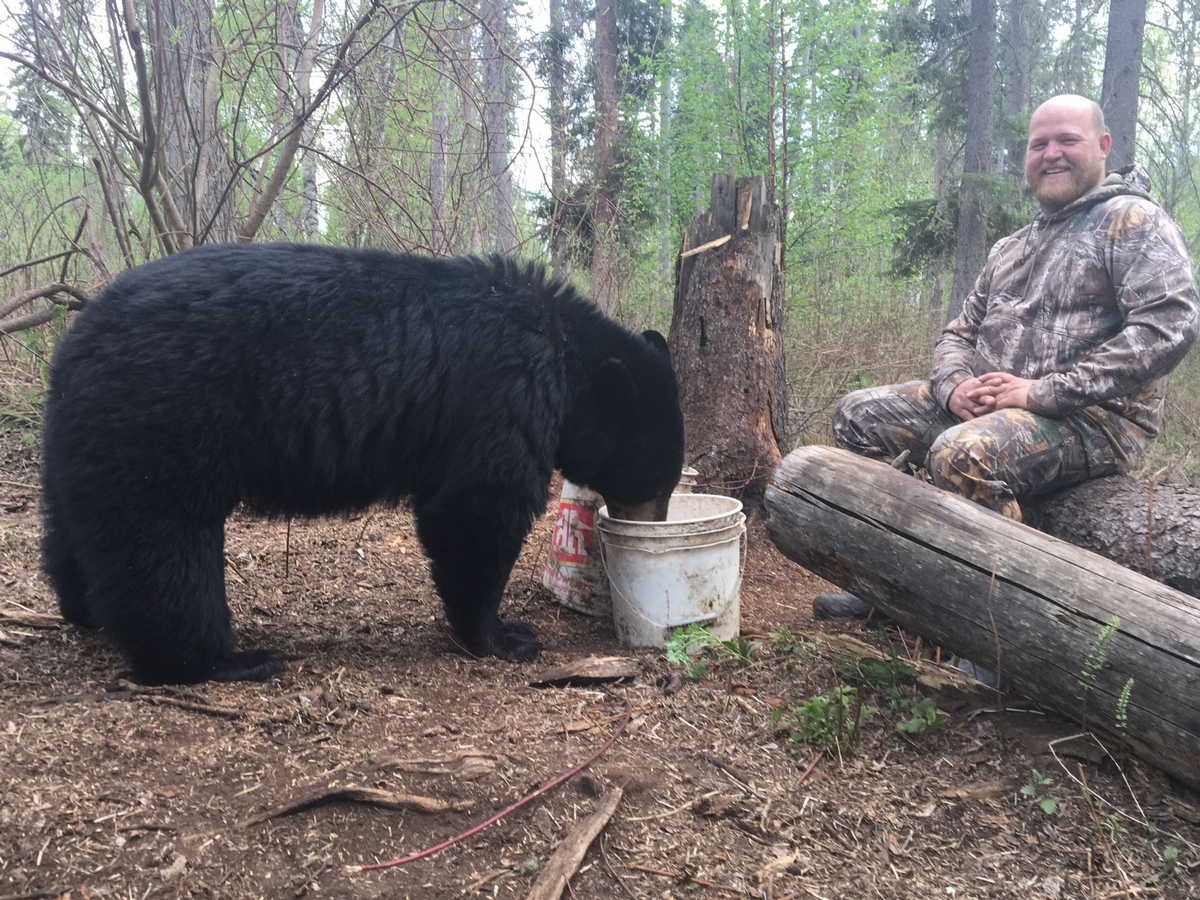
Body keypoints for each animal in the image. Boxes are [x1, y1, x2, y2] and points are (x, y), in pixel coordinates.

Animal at [41, 243, 685, 684]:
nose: (653, 525)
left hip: (94, 439)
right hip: (166, 419)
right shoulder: (502, 396)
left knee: (79, 530)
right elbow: (476, 510)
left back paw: (84, 611)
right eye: (657, 481)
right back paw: (226, 659)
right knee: (162, 543)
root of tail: (74, 339)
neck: (565, 352)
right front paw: (503, 636)